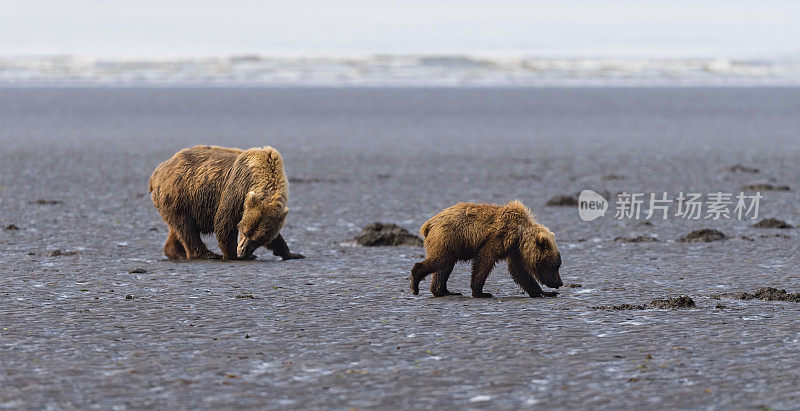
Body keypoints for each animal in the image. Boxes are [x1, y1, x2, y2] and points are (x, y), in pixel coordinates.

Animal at [148, 145, 304, 260]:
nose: (242, 251)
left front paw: (292, 253)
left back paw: (176, 252)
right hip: (181, 194)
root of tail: (158, 170)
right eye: (244, 231)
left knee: (177, 228)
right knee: (186, 227)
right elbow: (224, 221)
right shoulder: (238, 188)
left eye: (258, 239)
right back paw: (207, 254)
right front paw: (232, 254)